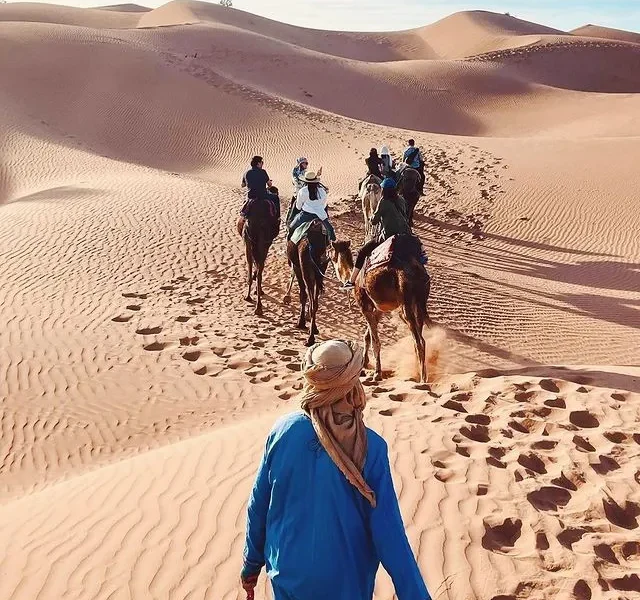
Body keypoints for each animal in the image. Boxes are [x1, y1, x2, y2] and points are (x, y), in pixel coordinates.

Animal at [330, 233, 430, 380]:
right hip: (419, 302)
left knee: (418, 341)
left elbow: (375, 341)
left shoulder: (364, 306)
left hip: (405, 304)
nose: (326, 255)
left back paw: (423, 378)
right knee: (420, 337)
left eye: (330, 250)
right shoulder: (379, 310)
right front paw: (365, 363)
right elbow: (368, 336)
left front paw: (377, 373)